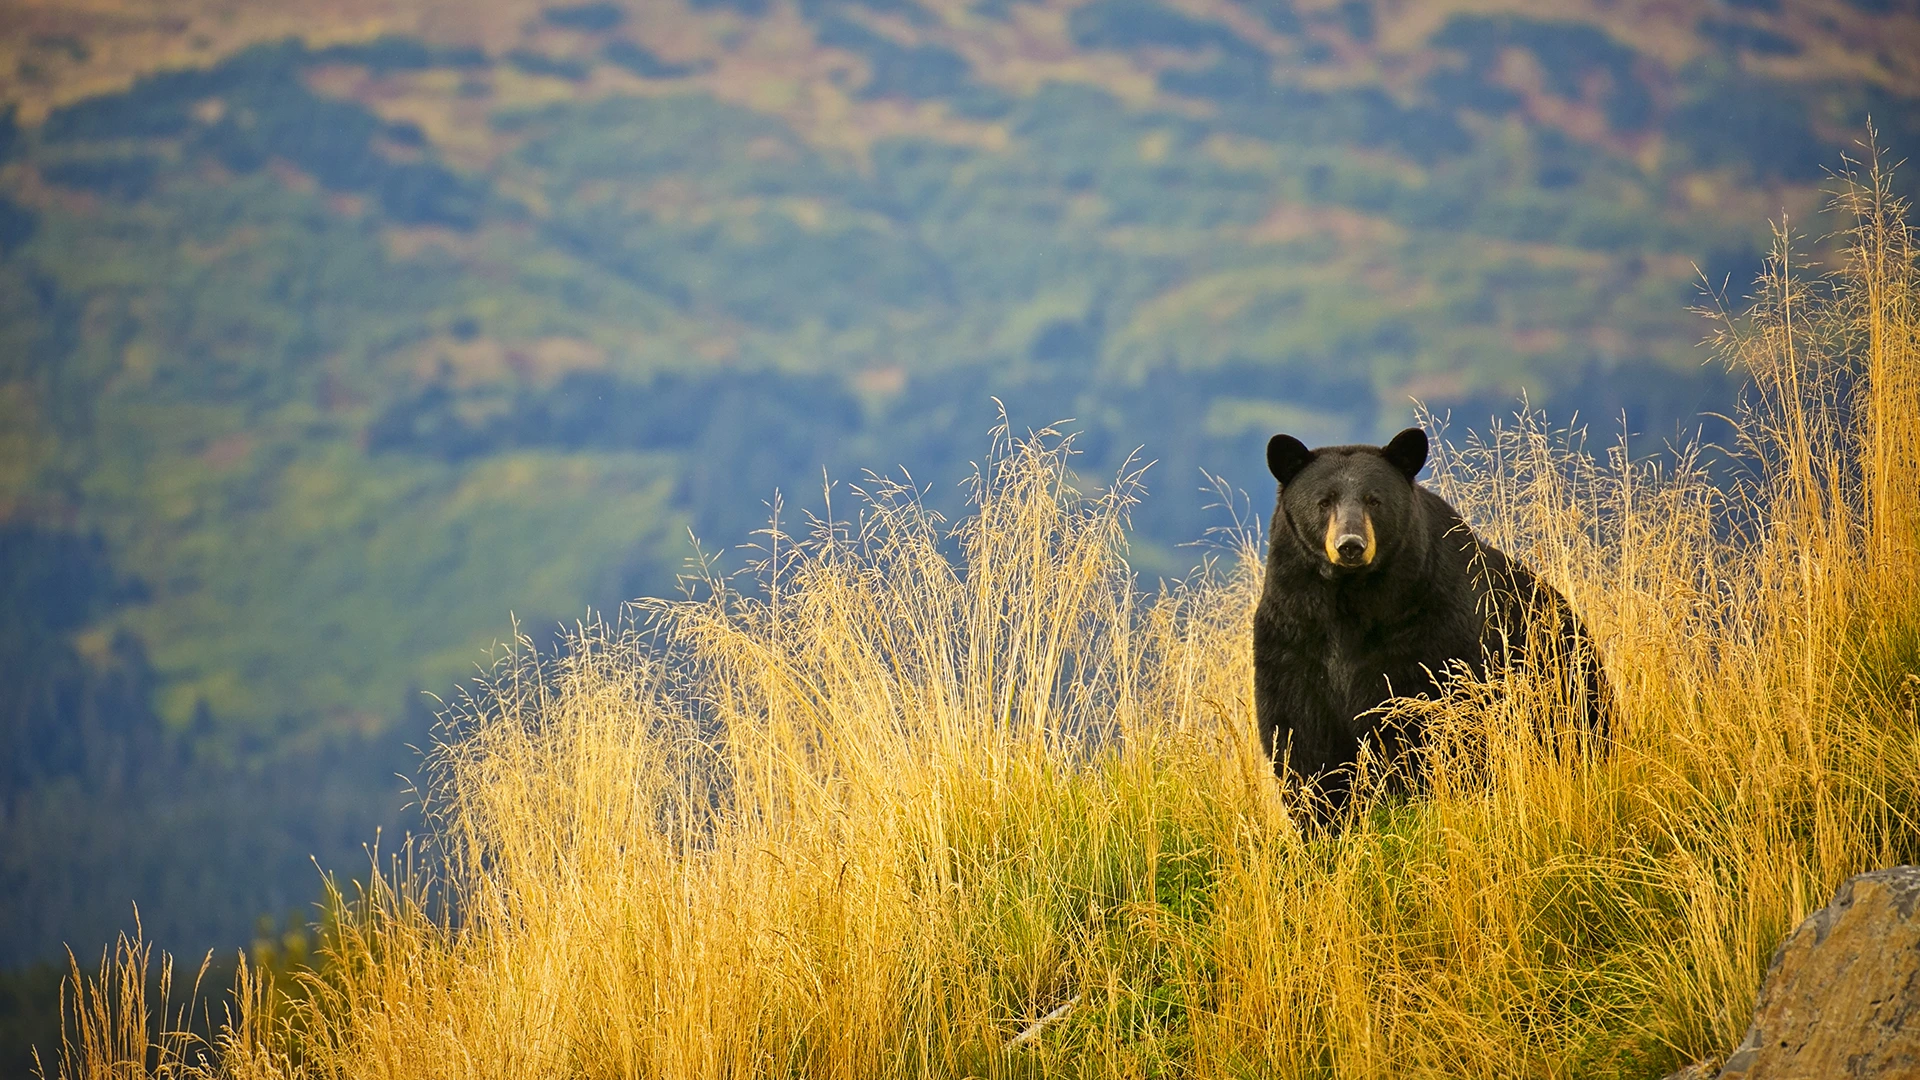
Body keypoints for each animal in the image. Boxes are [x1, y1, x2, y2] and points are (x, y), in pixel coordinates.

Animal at [1253, 426, 1610, 818]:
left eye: (1373, 500)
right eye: (1324, 501)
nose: (1350, 545)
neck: (1350, 600)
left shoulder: (1429, 627)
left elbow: (1427, 717)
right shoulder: (1293, 633)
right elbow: (1299, 734)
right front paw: (1322, 815)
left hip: (1562, 679)